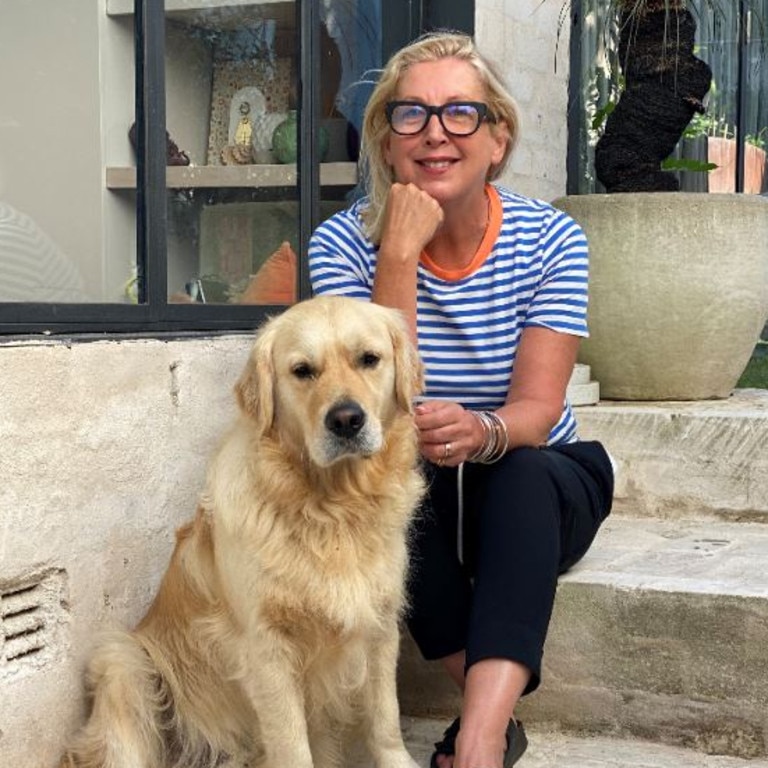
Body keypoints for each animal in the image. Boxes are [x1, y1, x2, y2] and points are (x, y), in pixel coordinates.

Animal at [61, 296, 426, 768]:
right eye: (302, 370)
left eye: (369, 359)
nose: (346, 420)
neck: (331, 508)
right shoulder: (265, 648)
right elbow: (291, 743)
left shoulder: (381, 624)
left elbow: (385, 720)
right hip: (124, 660)